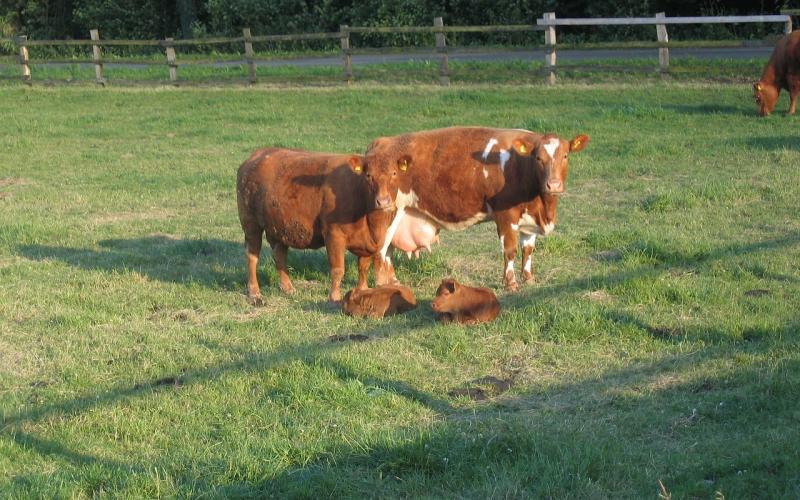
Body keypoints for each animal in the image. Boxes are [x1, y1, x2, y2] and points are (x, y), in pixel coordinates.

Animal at [236, 148, 398, 304]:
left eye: (394, 173)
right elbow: (338, 269)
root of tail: (258, 154)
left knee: (279, 254)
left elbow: (363, 268)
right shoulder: (333, 235)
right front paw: (334, 298)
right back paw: (255, 294)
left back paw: (288, 288)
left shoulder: (367, 243)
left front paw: (362, 291)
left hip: (277, 226)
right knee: (252, 256)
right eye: (368, 175)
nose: (383, 201)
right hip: (250, 223)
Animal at [363, 126, 588, 290]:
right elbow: (510, 250)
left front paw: (529, 279)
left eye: (566, 156)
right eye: (538, 158)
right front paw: (511, 284)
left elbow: (528, 250)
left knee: (388, 251)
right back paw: (384, 287)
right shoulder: (506, 216)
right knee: (380, 251)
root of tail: (381, 142)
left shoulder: (529, 218)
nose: (553, 185)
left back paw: (394, 282)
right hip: (386, 212)